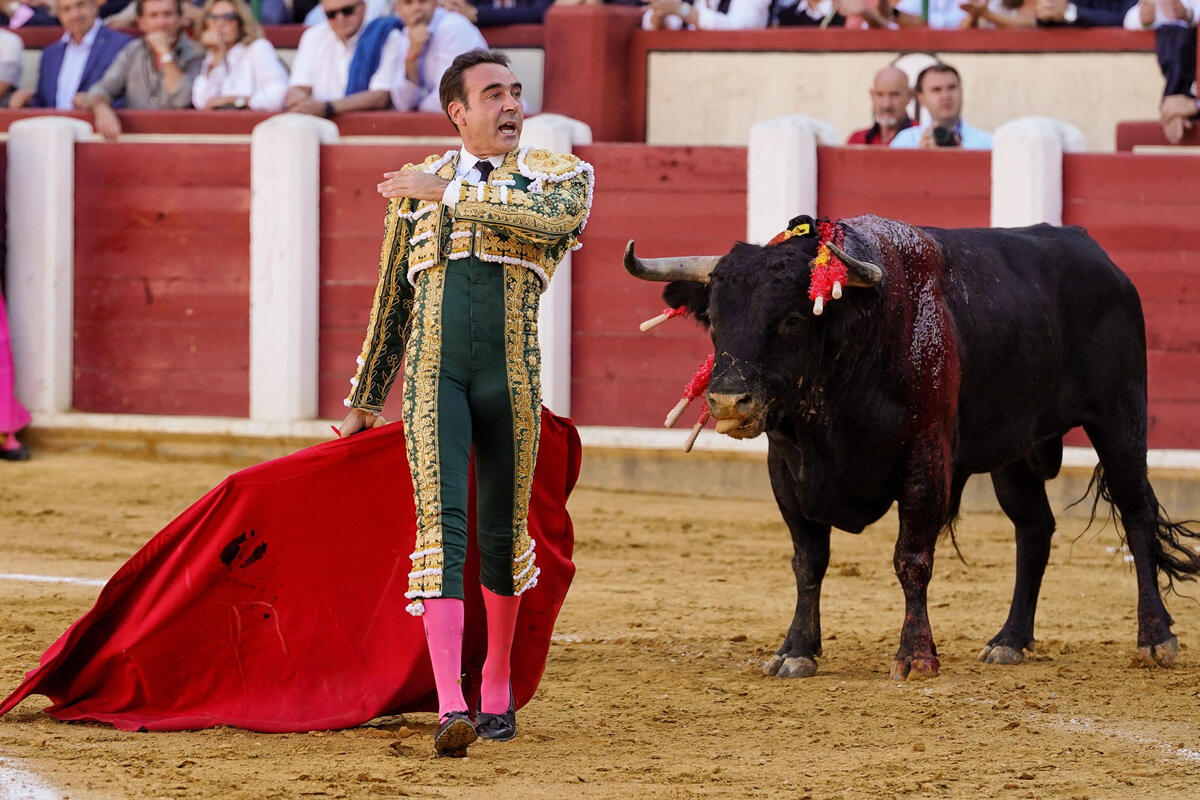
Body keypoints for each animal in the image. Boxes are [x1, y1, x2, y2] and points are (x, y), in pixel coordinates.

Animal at [628, 214, 1200, 681]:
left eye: (791, 319)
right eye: (715, 319)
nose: (728, 400)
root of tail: (1095, 253)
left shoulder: (926, 460)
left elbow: (912, 558)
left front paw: (916, 656)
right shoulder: (786, 468)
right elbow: (808, 560)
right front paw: (796, 651)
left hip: (1119, 418)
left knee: (1136, 515)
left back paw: (1155, 639)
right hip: (1014, 451)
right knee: (1034, 529)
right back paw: (1010, 641)